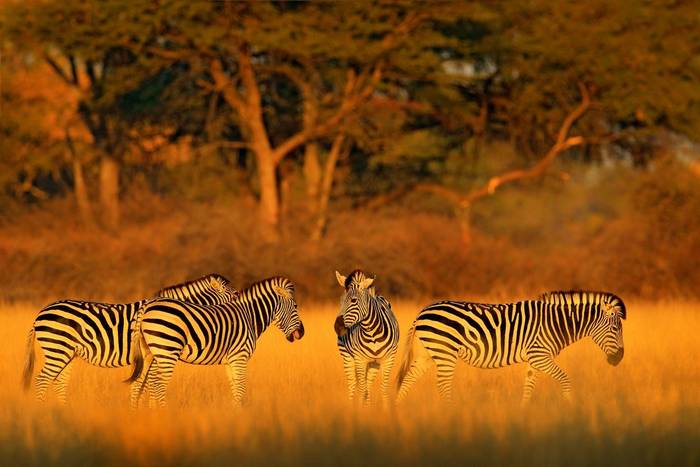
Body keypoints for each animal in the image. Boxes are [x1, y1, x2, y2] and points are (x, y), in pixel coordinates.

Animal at [22, 273, 239, 403]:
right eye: (236, 296)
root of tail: (41, 313)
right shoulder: (155, 357)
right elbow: (149, 386)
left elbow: (141, 385)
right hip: (58, 348)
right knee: (43, 380)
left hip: (66, 353)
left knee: (58, 382)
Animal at [126, 276, 304, 407]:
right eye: (295, 306)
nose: (302, 333)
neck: (249, 316)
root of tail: (146, 306)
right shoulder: (240, 357)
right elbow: (240, 388)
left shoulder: (230, 361)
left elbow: (235, 388)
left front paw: (235, 413)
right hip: (167, 350)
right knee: (158, 384)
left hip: (149, 353)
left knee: (139, 383)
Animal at [334, 270, 399, 405]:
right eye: (341, 301)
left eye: (354, 300)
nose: (337, 327)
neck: (372, 333)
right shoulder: (360, 360)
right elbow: (361, 389)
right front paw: (360, 409)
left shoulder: (389, 359)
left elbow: (383, 389)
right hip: (347, 356)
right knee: (353, 384)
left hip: (374, 364)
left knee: (368, 384)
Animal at [396, 291, 625, 403]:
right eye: (615, 328)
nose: (619, 359)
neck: (556, 323)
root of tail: (422, 312)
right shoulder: (540, 355)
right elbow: (565, 379)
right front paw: (569, 408)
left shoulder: (534, 359)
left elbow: (528, 387)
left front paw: (523, 414)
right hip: (445, 352)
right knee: (442, 385)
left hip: (427, 354)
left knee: (407, 380)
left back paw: (397, 412)